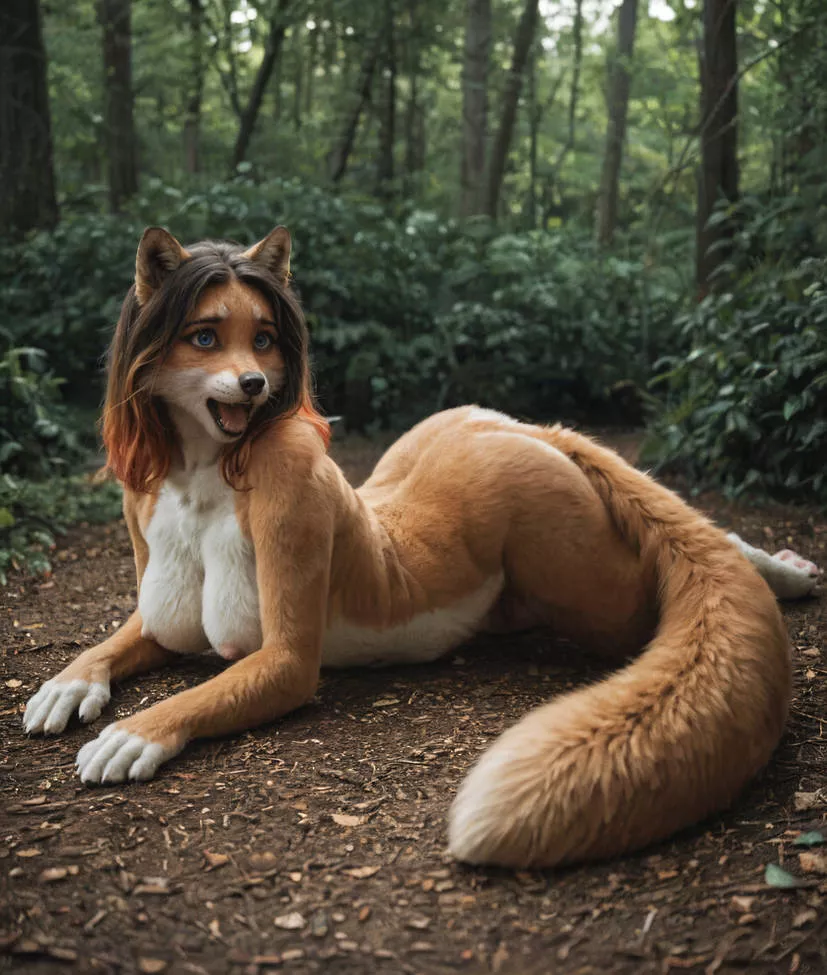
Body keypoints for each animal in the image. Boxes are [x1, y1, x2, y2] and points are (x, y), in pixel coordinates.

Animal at [23, 225, 822, 867]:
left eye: (266, 338)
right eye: (205, 336)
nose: (253, 383)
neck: (198, 471)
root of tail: (520, 428)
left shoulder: (287, 583)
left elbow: (227, 682)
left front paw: (135, 732)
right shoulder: (146, 546)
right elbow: (119, 643)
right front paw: (69, 684)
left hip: (588, 582)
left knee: (666, 570)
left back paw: (780, 573)